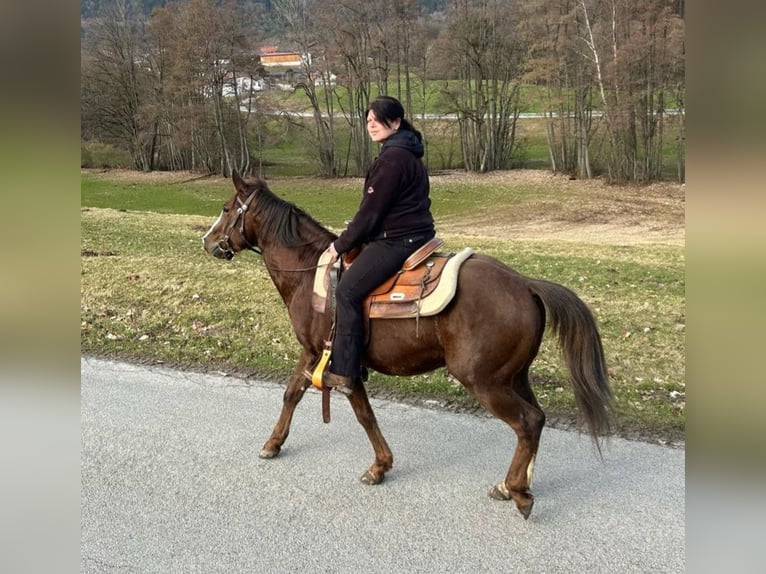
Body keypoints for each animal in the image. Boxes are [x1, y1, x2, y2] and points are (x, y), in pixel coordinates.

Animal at [204, 172, 612, 520]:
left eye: (225, 208)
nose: (207, 242)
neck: (310, 274)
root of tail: (525, 284)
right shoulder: (319, 355)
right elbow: (299, 395)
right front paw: (275, 444)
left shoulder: (329, 357)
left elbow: (355, 411)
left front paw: (378, 466)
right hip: (514, 376)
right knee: (537, 419)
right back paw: (515, 485)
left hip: (485, 381)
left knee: (527, 422)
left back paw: (518, 492)